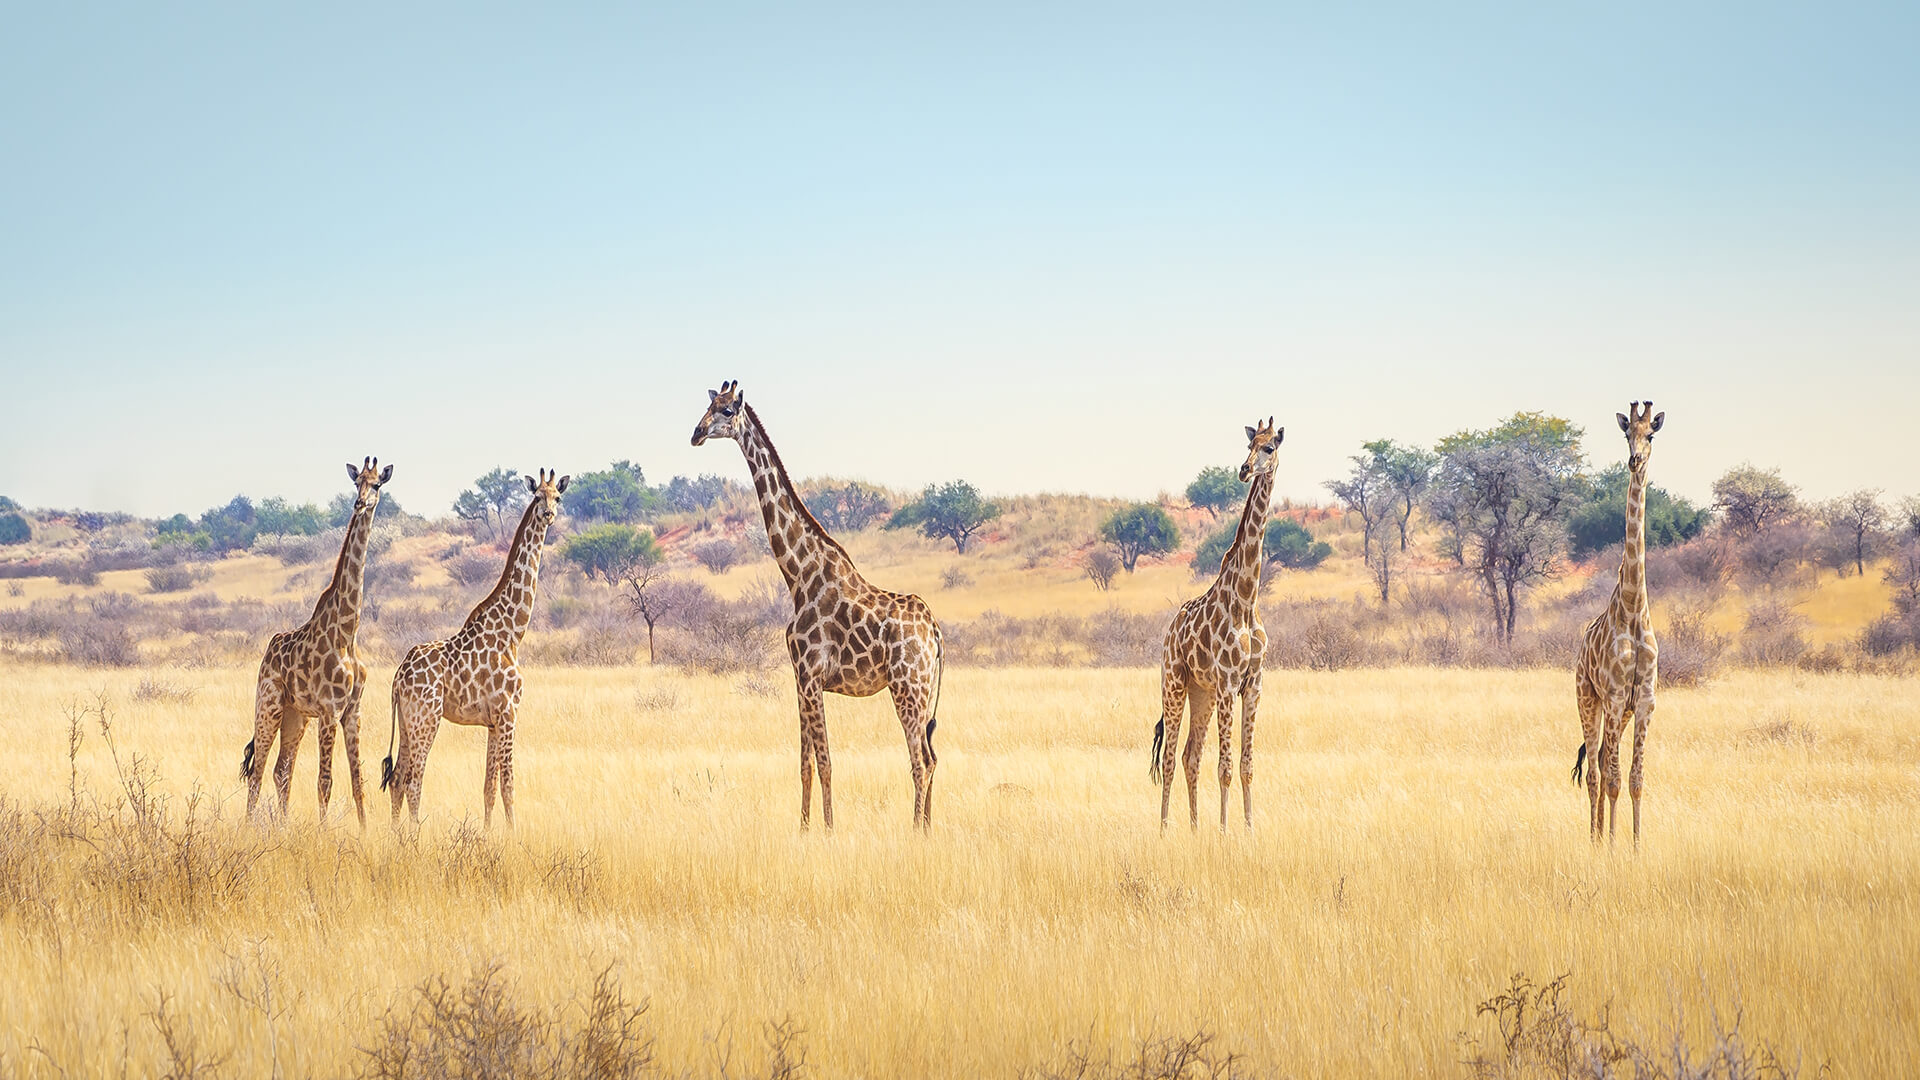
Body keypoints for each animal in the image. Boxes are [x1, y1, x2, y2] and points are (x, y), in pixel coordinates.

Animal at [239, 455, 389, 822]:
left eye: (377, 484)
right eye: (356, 482)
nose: (360, 503)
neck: (348, 631)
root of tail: (266, 653)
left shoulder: (353, 710)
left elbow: (358, 781)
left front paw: (364, 831)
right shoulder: (330, 710)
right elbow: (325, 781)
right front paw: (323, 831)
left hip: (296, 715)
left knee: (281, 769)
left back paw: (283, 826)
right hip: (269, 705)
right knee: (258, 771)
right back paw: (248, 827)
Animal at [378, 466, 564, 826]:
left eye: (558, 496)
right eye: (537, 496)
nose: (549, 514)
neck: (513, 632)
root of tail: (397, 678)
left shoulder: (492, 722)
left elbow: (488, 789)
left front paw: (489, 834)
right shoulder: (509, 713)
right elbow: (509, 787)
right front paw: (513, 835)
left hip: (407, 722)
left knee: (397, 779)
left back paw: (394, 836)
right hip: (426, 717)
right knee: (414, 780)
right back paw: (413, 836)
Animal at [691, 382, 944, 826]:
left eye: (725, 411)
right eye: (707, 406)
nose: (696, 433)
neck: (797, 574)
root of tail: (934, 631)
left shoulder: (812, 676)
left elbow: (826, 762)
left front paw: (828, 830)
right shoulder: (799, 677)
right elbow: (805, 762)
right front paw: (805, 828)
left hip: (907, 687)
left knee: (921, 762)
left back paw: (915, 831)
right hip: (923, 688)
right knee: (932, 757)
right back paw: (929, 829)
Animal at [1144, 417, 1282, 826]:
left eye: (1270, 447)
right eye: (1249, 444)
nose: (1245, 470)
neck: (1247, 599)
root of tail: (1170, 631)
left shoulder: (1253, 684)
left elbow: (1246, 765)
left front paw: (1248, 829)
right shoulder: (1227, 683)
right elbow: (1224, 767)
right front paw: (1223, 832)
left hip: (1199, 692)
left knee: (1190, 755)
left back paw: (1193, 829)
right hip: (1174, 683)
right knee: (1170, 758)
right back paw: (1165, 829)